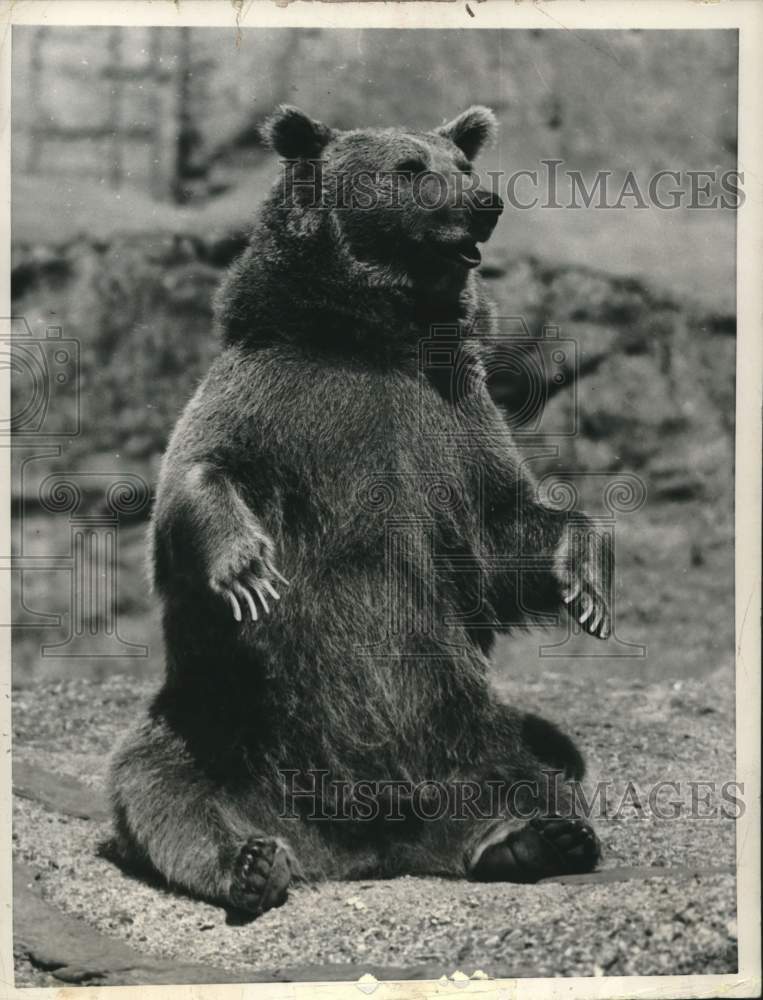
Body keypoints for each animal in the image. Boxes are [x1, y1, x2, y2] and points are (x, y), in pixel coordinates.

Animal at [108, 105, 612, 917]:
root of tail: (362, 846)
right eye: (409, 169)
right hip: (223, 723)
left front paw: (585, 586)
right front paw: (247, 571)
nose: (485, 202)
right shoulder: (275, 396)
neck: (375, 340)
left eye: (462, 164)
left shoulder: (454, 419)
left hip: (462, 721)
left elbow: (505, 535)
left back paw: (535, 838)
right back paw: (251, 863)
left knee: (541, 760)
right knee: (165, 784)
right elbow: (199, 474)